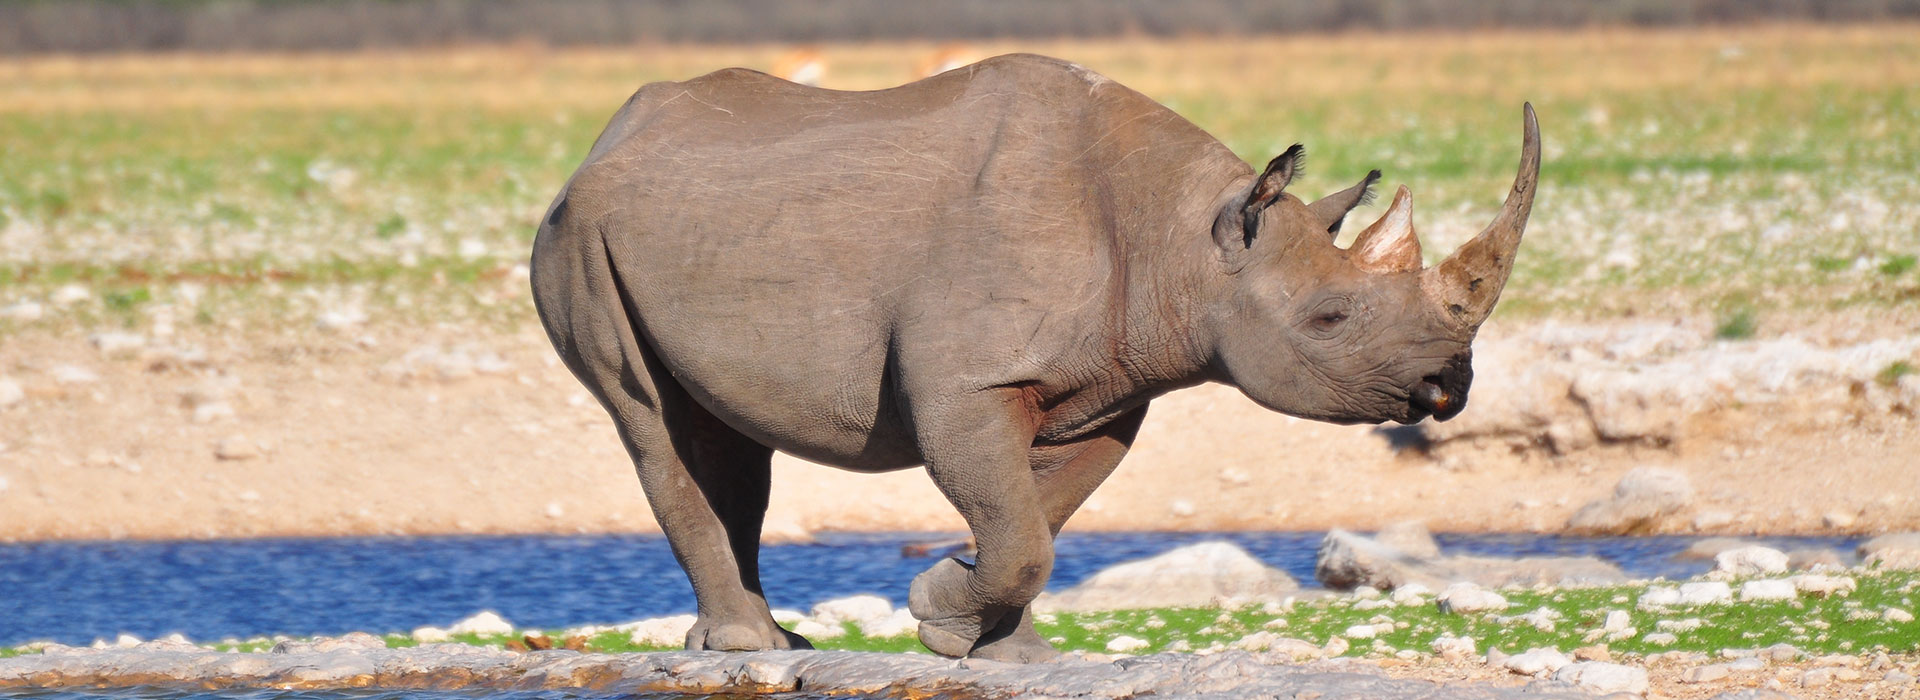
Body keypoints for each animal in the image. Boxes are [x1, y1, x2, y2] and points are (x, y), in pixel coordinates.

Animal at [531, 53, 1539, 662]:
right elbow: (1016, 531)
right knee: (652, 422)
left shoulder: (1110, 388)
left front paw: (1006, 651)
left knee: (729, 445)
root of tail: (604, 140)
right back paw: (750, 650)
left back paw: (773, 646)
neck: (1187, 239)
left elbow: (1038, 519)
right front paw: (941, 615)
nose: (1450, 386)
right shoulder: (967, 383)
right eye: (1329, 319)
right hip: (577, 236)